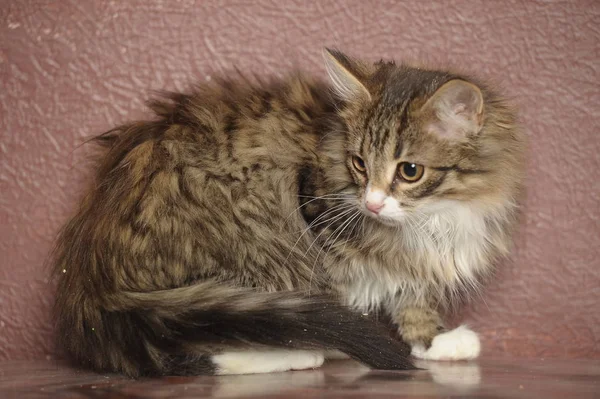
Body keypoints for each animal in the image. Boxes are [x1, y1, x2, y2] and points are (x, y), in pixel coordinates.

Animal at [51, 48, 524, 376]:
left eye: (409, 171)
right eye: (359, 164)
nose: (371, 202)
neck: (435, 215)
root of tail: (90, 284)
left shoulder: (415, 264)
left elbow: (412, 297)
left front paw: (434, 342)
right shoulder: (316, 218)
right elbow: (336, 298)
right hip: (249, 240)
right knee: (221, 342)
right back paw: (301, 352)